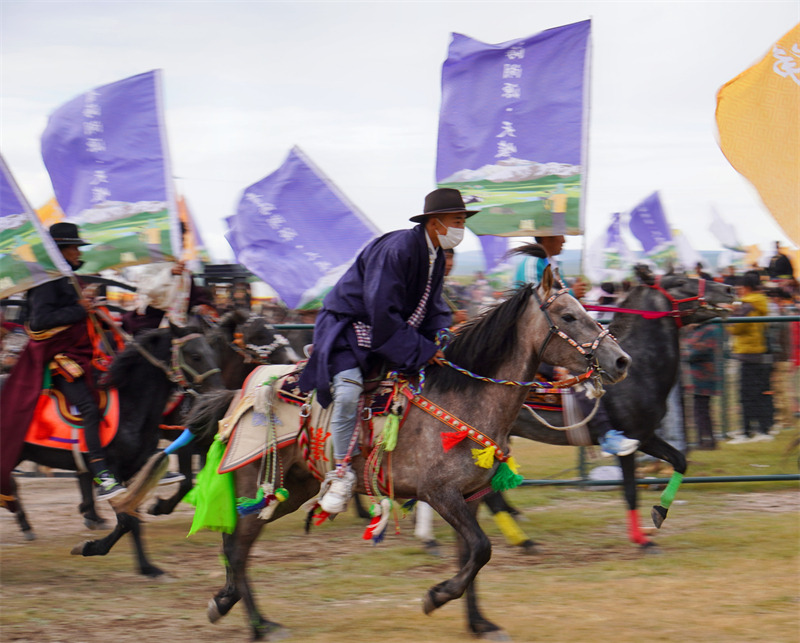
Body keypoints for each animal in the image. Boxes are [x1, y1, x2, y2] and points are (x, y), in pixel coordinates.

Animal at [11, 324, 225, 576]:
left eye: (213, 352)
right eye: (195, 356)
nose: (219, 395)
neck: (131, 405)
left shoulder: (133, 470)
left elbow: (131, 519)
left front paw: (145, 565)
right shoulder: (114, 469)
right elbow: (128, 519)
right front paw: (94, 548)